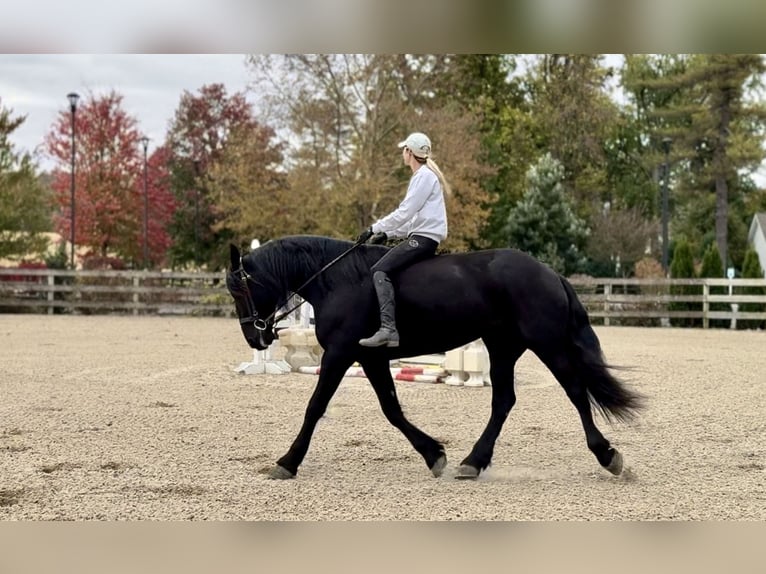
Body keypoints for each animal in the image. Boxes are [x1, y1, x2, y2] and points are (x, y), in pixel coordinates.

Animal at [226, 235, 644, 480]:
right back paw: (473, 461)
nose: (255, 337)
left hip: (548, 344)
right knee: (504, 401)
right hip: (503, 346)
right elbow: (392, 409)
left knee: (575, 392)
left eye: (239, 289)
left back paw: (607, 455)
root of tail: (549, 273)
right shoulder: (371, 358)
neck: (337, 279)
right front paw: (433, 454)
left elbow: (315, 407)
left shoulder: (340, 354)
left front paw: (287, 461)